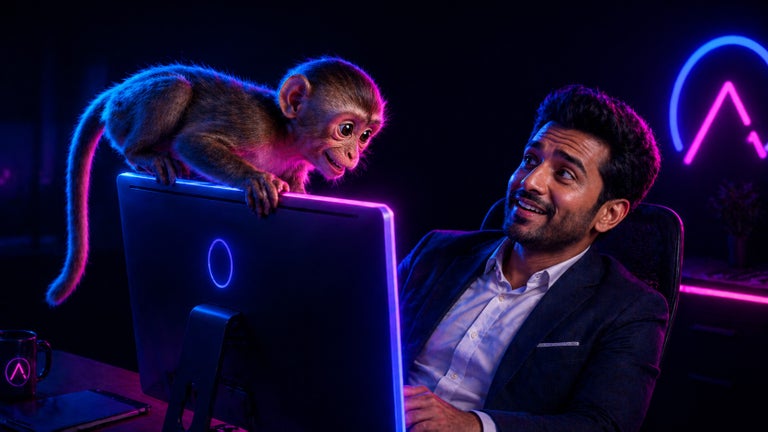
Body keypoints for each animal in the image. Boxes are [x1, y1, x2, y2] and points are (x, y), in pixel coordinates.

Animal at [46, 56, 387, 307]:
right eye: (346, 129)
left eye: (365, 135)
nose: (354, 154)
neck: (285, 134)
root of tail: (118, 90)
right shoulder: (252, 126)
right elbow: (191, 142)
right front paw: (255, 179)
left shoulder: (298, 164)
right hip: (124, 112)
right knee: (176, 88)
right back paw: (142, 153)